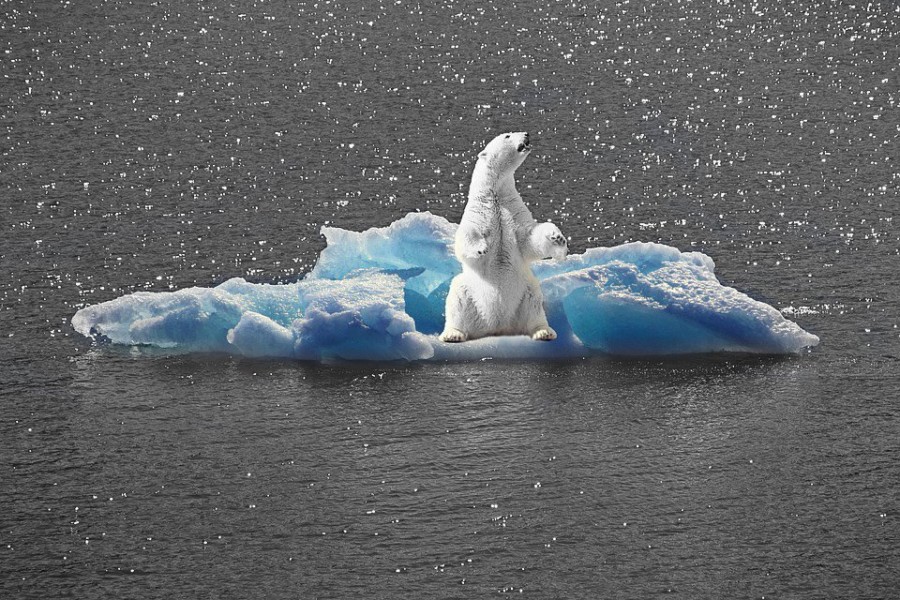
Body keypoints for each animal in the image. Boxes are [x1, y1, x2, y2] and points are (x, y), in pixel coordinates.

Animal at [439, 131, 568, 343]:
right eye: (507, 135)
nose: (526, 133)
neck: (496, 195)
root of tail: (497, 326)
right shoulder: (479, 212)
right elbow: (466, 236)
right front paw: (481, 247)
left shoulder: (513, 211)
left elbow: (529, 238)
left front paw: (557, 238)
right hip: (469, 292)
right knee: (457, 297)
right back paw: (453, 334)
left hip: (525, 291)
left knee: (534, 303)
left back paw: (544, 332)